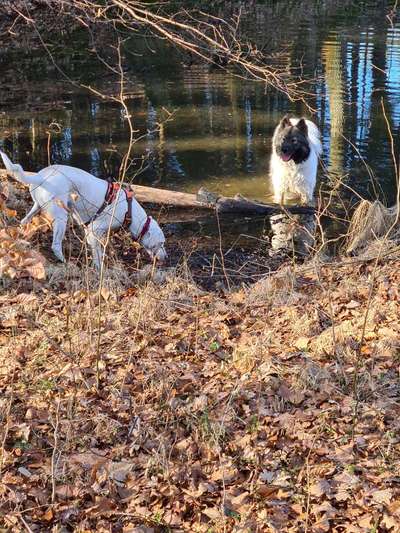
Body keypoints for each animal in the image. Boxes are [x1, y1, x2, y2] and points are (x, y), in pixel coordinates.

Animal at [0, 151, 166, 268]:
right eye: (161, 243)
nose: (166, 257)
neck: (129, 209)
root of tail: (41, 177)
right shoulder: (94, 230)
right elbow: (98, 255)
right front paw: (100, 269)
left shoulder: (87, 228)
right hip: (61, 218)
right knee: (56, 245)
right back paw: (64, 261)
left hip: (37, 207)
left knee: (24, 221)